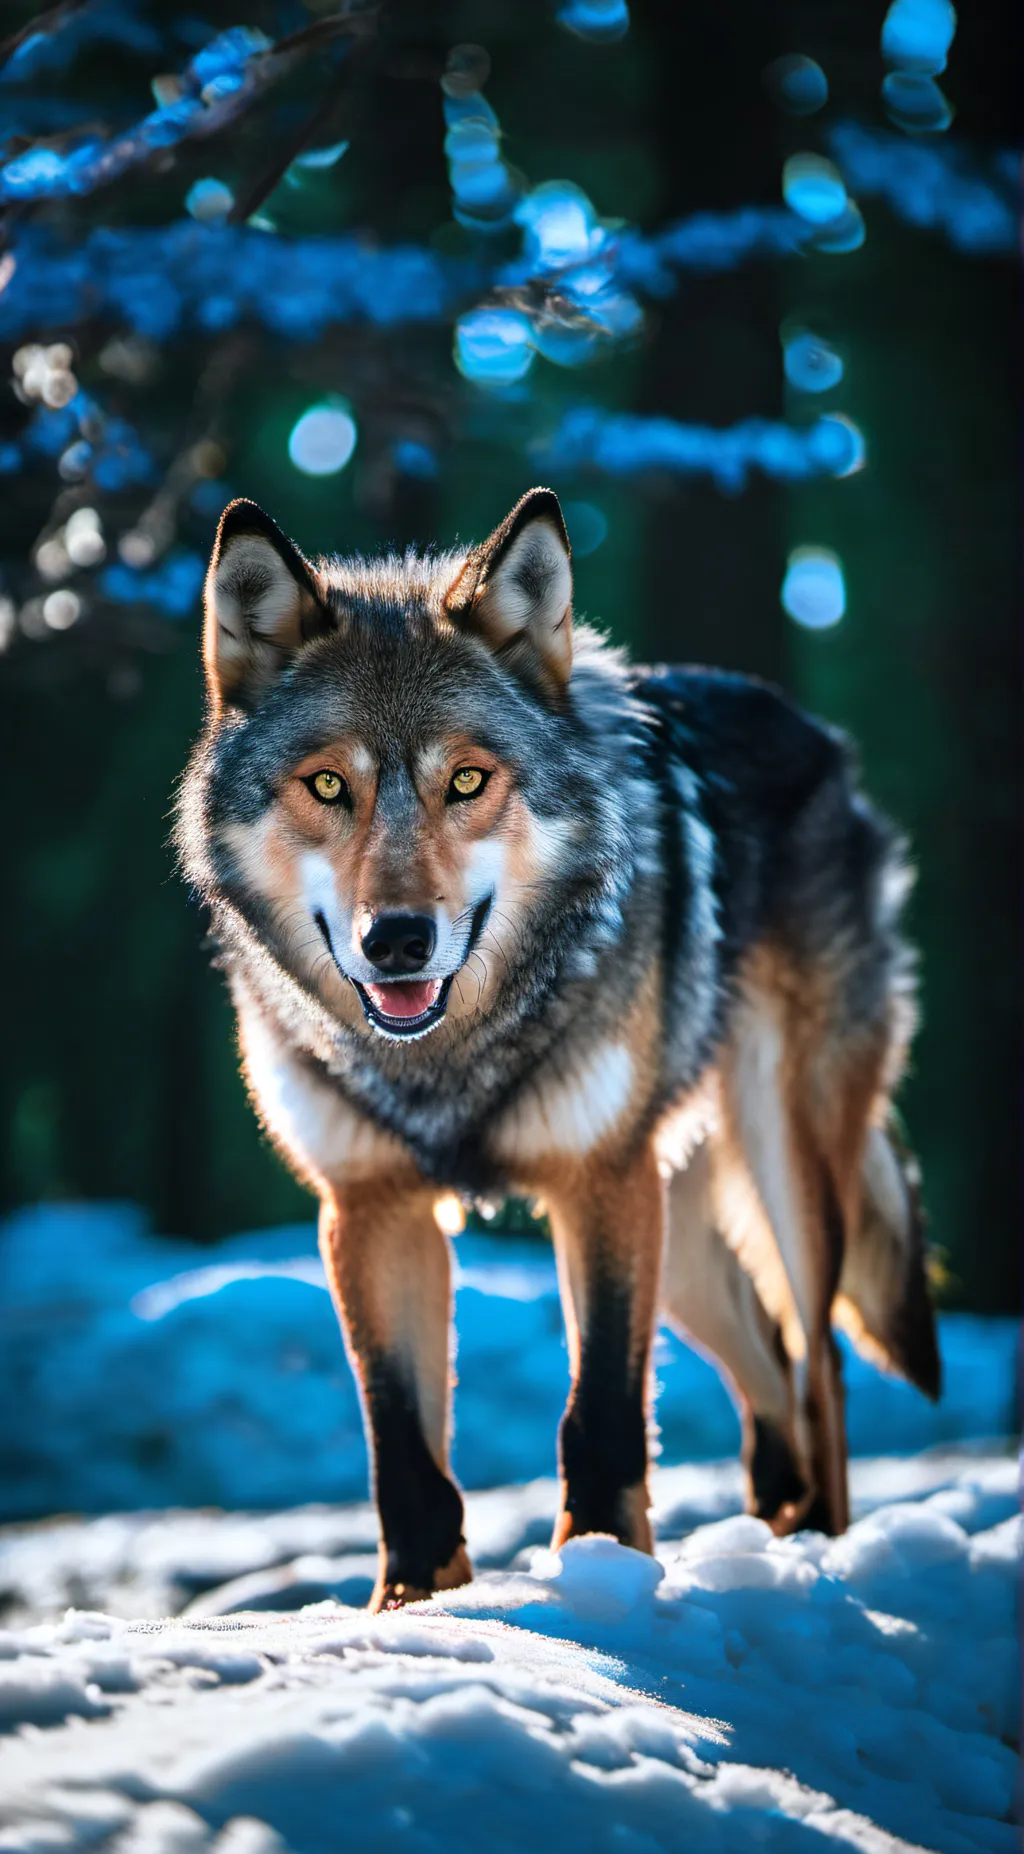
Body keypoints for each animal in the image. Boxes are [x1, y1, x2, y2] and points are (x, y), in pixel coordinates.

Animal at [177, 487, 940, 1610]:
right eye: (326, 787)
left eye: (466, 781)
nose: (396, 939)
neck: (446, 1060)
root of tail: (822, 742)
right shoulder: (368, 1208)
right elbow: (401, 1451)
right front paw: (409, 1606)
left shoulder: (599, 1183)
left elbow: (602, 1416)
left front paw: (603, 1580)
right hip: (686, 1233)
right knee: (767, 1385)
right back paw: (768, 1552)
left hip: (777, 1165)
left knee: (819, 1367)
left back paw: (829, 1561)